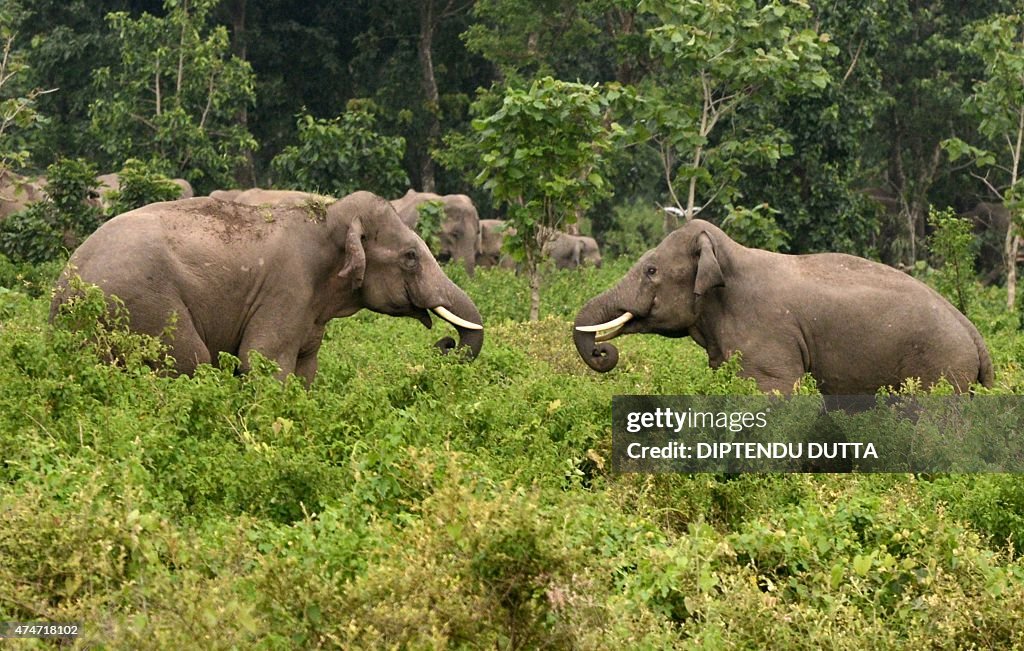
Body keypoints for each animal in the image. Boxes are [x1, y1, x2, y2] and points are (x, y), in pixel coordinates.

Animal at [52, 192, 487, 386]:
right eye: (411, 256)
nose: (444, 343)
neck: (331, 213)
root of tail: (63, 289)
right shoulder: (287, 288)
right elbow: (262, 361)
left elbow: (306, 370)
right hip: (145, 306)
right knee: (189, 361)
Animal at [573, 219, 987, 395]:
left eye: (651, 270)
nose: (603, 353)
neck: (730, 253)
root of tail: (974, 332)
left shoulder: (767, 337)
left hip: (942, 366)